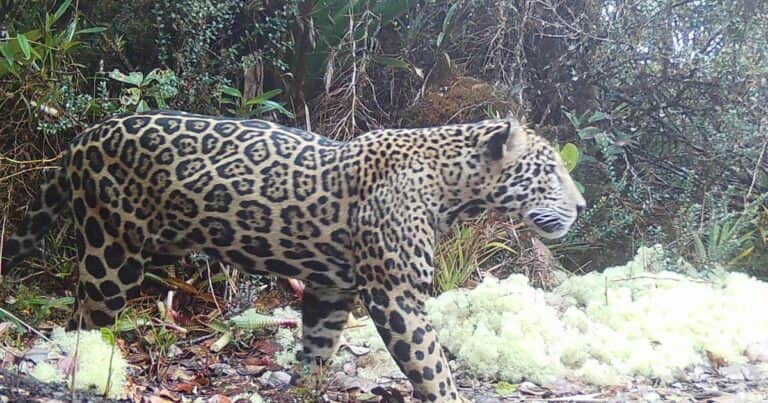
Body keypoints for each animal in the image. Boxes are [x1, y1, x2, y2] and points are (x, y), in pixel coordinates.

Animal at [1, 111, 585, 402]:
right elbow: (432, 366)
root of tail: (82, 138)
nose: (581, 206)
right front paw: (447, 396)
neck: (453, 188)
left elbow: (319, 345)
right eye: (550, 170)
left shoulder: (332, 287)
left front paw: (306, 387)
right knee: (85, 321)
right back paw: (86, 371)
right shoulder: (395, 296)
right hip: (112, 253)